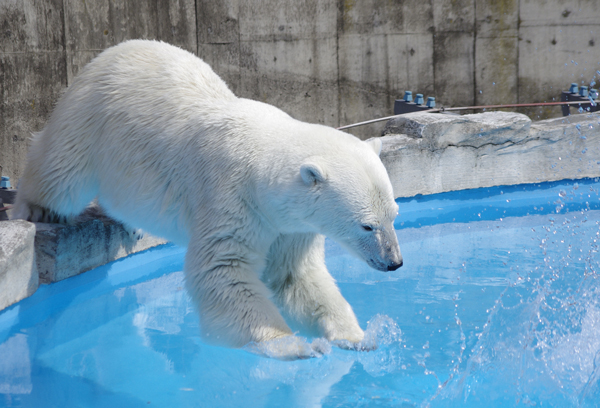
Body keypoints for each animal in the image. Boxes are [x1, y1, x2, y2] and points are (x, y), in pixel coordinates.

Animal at [12, 40, 404, 360]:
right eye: (366, 225)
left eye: (394, 215)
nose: (394, 263)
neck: (261, 161)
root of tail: (115, 50)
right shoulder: (231, 197)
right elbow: (224, 271)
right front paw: (291, 345)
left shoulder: (290, 225)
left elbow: (294, 276)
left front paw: (356, 336)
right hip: (89, 115)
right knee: (61, 170)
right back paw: (34, 208)